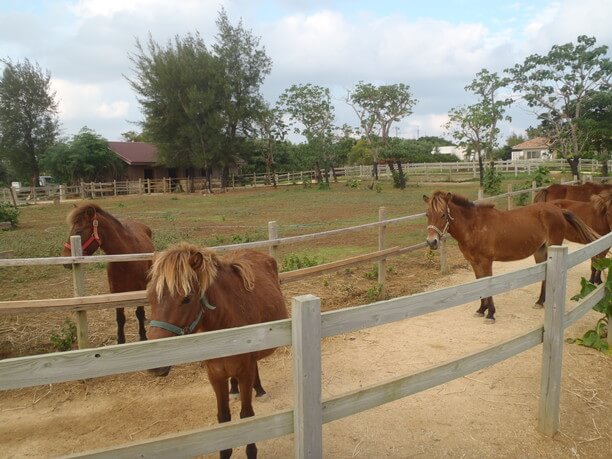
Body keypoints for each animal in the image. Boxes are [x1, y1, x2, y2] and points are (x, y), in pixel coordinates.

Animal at [61, 205, 154, 344]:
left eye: (78, 231)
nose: (65, 260)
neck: (126, 259)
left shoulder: (140, 287)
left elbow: (139, 312)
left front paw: (143, 336)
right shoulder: (115, 291)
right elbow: (120, 318)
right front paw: (120, 340)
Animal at [147, 243, 288, 458]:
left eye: (186, 299)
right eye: (150, 297)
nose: (155, 365)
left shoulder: (245, 373)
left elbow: (247, 416)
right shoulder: (215, 376)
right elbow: (223, 418)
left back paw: (259, 389)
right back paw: (234, 389)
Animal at [424, 190, 600, 324]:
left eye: (442, 215)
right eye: (427, 214)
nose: (431, 242)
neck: (474, 227)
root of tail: (558, 210)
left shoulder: (486, 262)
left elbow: (487, 286)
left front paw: (490, 314)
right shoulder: (474, 263)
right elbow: (480, 285)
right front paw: (481, 309)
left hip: (552, 247)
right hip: (540, 251)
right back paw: (540, 302)